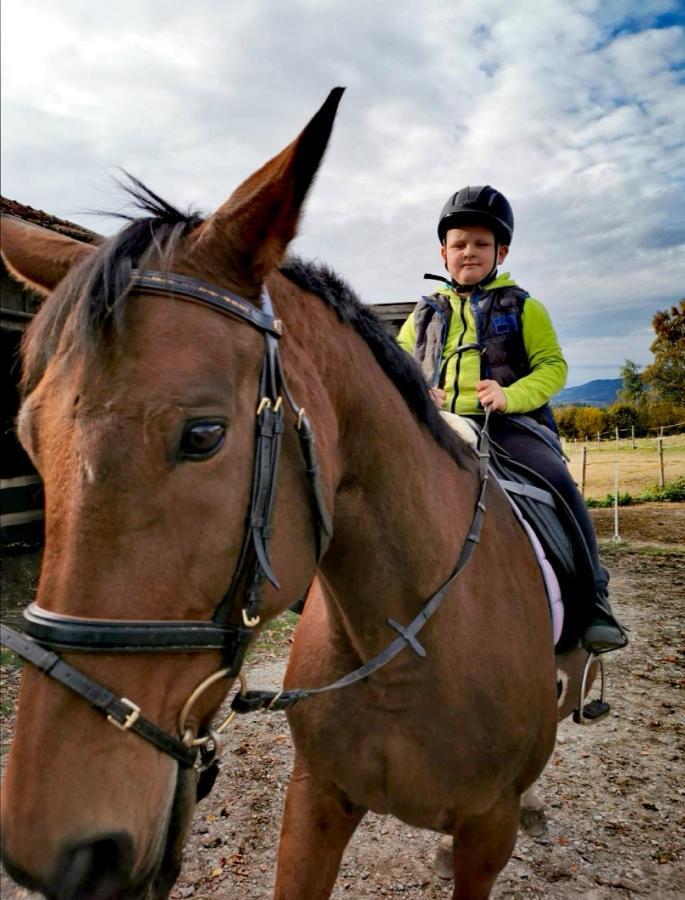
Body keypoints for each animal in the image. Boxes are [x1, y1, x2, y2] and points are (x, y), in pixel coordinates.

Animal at [0, 86, 588, 900]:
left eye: (203, 434)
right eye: (28, 439)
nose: (55, 851)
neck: (411, 643)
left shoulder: (484, 835)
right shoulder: (314, 802)